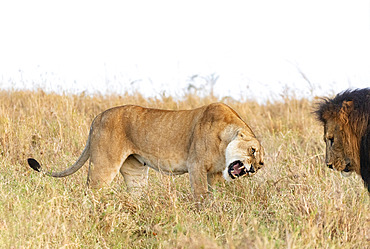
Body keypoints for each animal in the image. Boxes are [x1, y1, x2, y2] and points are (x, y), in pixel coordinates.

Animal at [27, 102, 264, 201]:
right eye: (252, 150)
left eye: (260, 165)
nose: (252, 169)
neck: (224, 141)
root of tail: (98, 117)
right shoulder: (196, 166)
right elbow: (201, 195)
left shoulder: (214, 173)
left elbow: (214, 194)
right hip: (104, 165)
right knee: (90, 192)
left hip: (135, 171)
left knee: (135, 194)